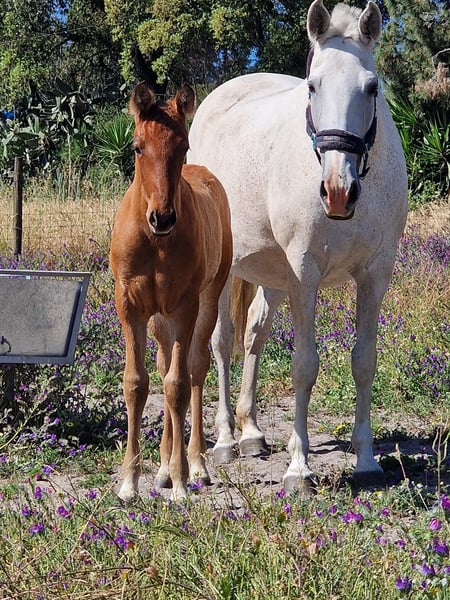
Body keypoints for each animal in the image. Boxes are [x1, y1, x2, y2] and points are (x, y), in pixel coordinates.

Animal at [110, 83, 232, 501]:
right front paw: (129, 481)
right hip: (158, 319)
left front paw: (180, 480)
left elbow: (178, 386)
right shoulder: (130, 307)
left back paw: (195, 464)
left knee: (194, 369)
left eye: (184, 146)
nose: (161, 218)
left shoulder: (184, 307)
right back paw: (162, 468)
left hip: (206, 301)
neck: (155, 243)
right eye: (136, 146)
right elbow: (137, 384)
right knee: (164, 368)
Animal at [187, 0, 408, 494]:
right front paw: (299, 469)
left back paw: (251, 434)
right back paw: (226, 440)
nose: (338, 191)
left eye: (372, 87)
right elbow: (304, 365)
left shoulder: (375, 275)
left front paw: (367, 461)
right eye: (312, 85)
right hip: (226, 271)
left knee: (253, 333)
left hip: (272, 275)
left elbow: (364, 361)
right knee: (221, 341)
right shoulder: (304, 274)